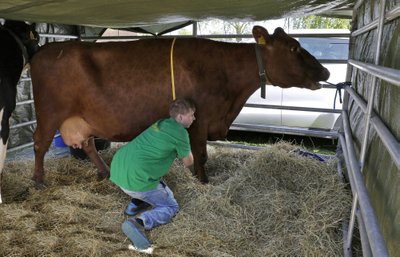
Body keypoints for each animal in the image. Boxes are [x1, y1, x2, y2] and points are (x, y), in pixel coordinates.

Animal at [28, 26, 328, 184]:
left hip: (82, 118)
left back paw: (104, 171)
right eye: (293, 48)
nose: (325, 71)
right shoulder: (200, 118)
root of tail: (44, 49)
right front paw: (203, 181)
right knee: (40, 143)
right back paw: (39, 180)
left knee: (88, 144)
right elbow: (201, 154)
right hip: (49, 112)